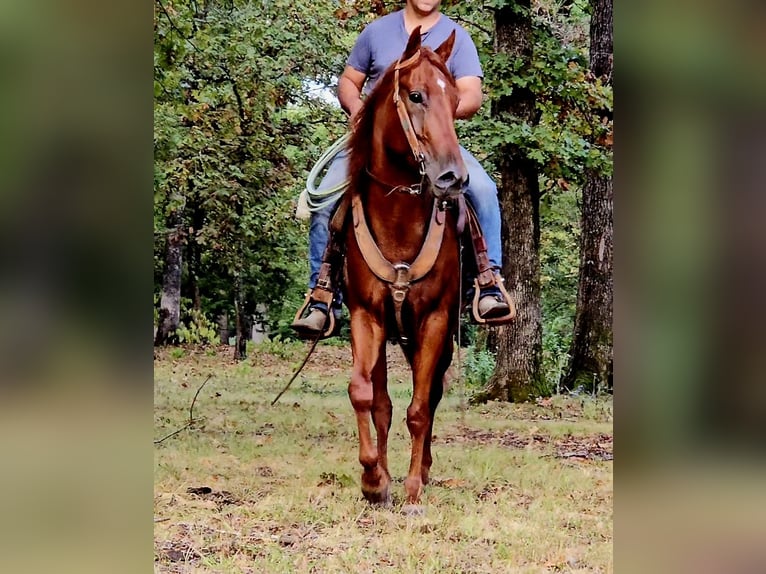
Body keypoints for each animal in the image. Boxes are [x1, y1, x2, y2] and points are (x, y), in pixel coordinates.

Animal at [342, 27, 467, 509]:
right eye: (415, 95)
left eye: (456, 101)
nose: (452, 178)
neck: (398, 220)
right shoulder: (365, 315)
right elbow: (364, 395)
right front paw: (374, 480)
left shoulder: (434, 319)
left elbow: (419, 408)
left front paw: (413, 487)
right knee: (381, 402)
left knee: (429, 397)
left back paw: (423, 471)